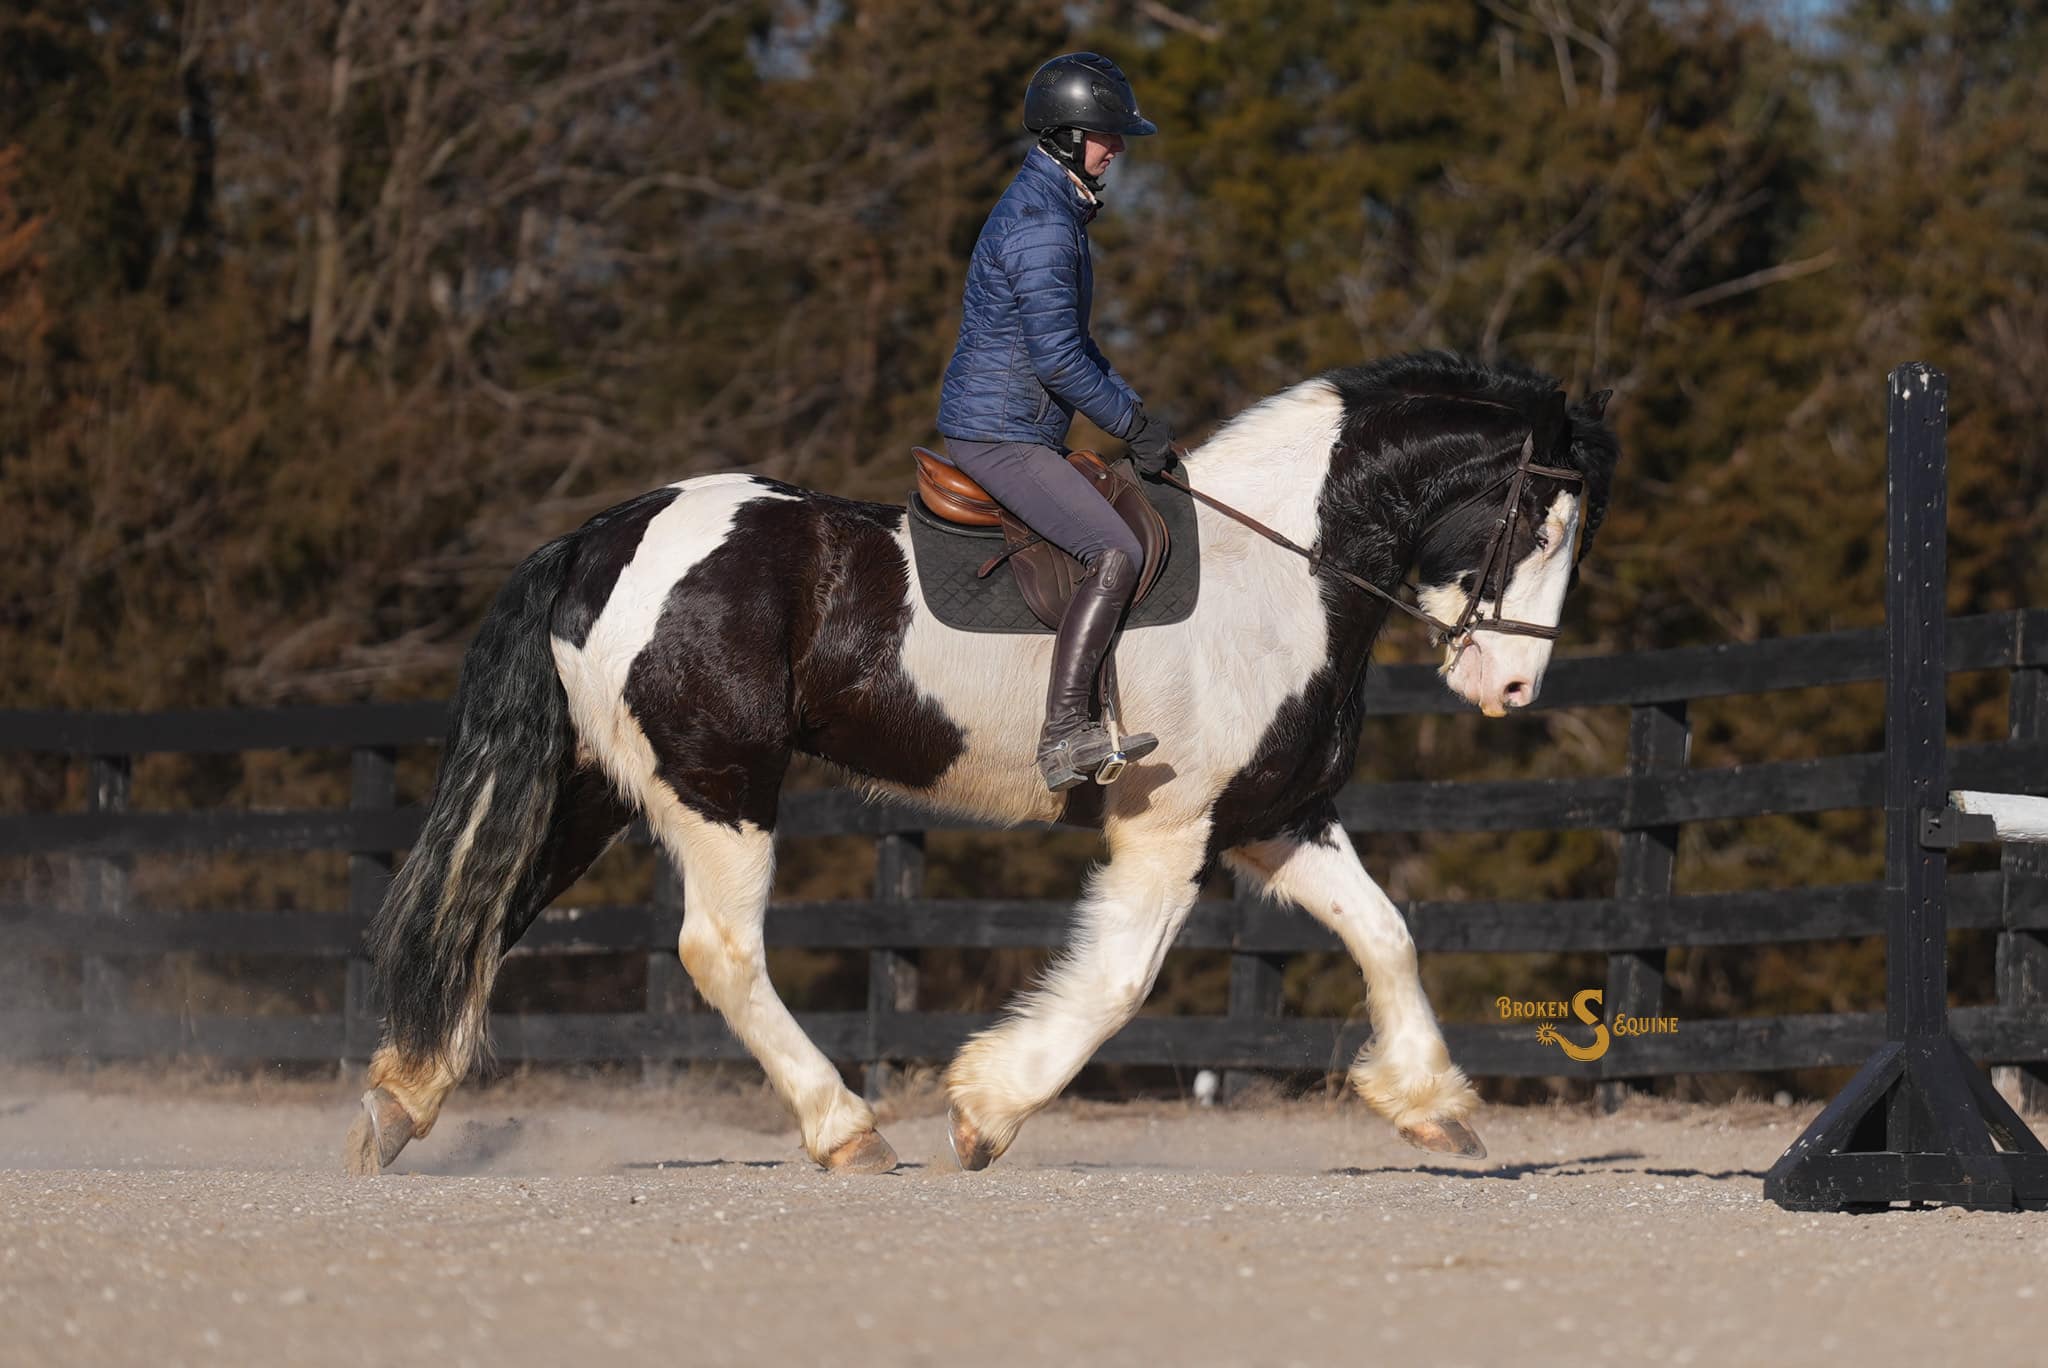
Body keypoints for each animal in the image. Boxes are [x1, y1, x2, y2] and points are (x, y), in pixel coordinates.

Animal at [342, 350, 1620, 1177]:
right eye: (1537, 525)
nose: (1510, 690)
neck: (1282, 570)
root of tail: (602, 537)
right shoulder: (1171, 829)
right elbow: (1119, 981)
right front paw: (985, 1110)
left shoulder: (1276, 816)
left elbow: (1384, 932)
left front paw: (1433, 1108)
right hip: (719, 790)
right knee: (718, 952)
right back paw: (846, 1130)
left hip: (600, 789)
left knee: (492, 916)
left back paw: (401, 1104)